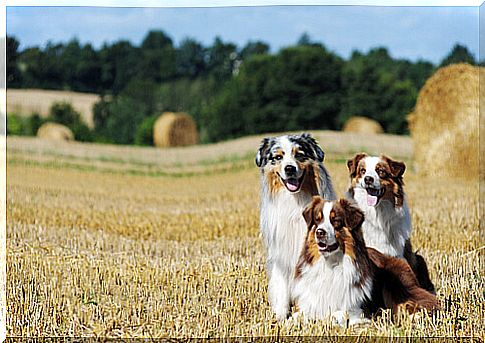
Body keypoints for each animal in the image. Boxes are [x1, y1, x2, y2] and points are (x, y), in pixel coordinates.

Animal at [255, 133, 334, 322]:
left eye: (299, 154)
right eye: (278, 157)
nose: (289, 169)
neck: (294, 200)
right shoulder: (281, 254)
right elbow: (281, 289)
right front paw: (280, 316)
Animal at [292, 196, 438, 326]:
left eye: (336, 221)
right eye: (317, 220)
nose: (319, 232)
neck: (331, 265)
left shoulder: (359, 310)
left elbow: (335, 315)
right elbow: (295, 316)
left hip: (394, 284)